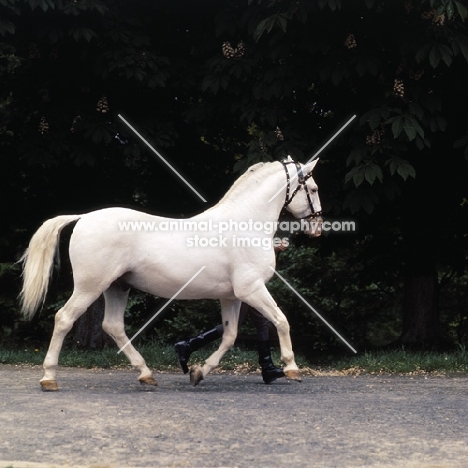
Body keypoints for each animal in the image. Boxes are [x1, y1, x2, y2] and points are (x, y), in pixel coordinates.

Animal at [19, 157, 322, 392]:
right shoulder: (252, 289)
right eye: (314, 188)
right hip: (89, 287)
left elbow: (229, 335)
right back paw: (49, 378)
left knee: (113, 326)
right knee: (64, 319)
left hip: (117, 287)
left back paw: (146, 374)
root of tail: (84, 217)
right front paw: (292, 368)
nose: (317, 227)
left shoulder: (233, 296)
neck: (244, 224)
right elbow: (281, 321)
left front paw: (198, 372)